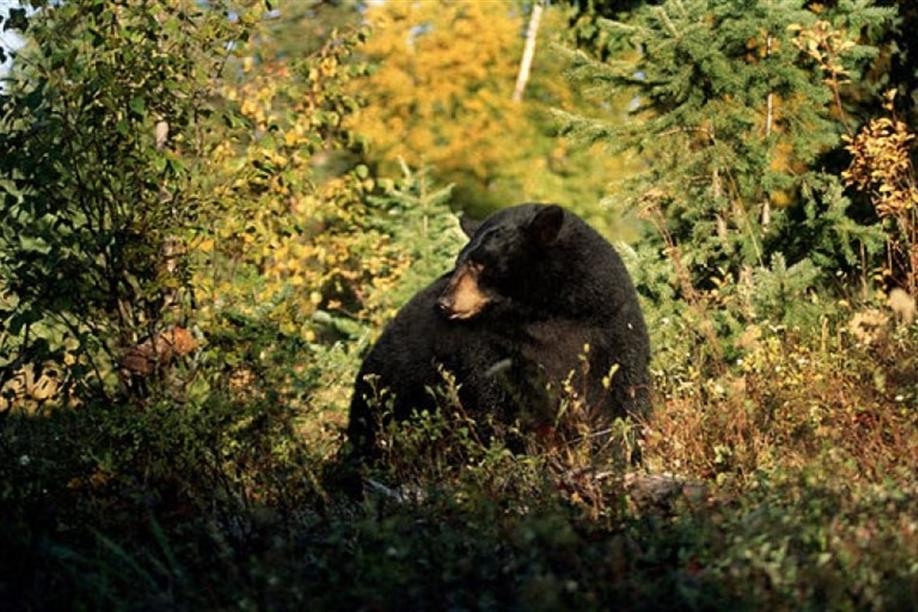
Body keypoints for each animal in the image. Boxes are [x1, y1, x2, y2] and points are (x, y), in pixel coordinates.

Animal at [346, 203, 651, 461]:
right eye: (459, 262)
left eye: (479, 264)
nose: (445, 302)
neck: (544, 310)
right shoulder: (490, 344)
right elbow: (497, 399)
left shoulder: (608, 319)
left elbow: (627, 383)